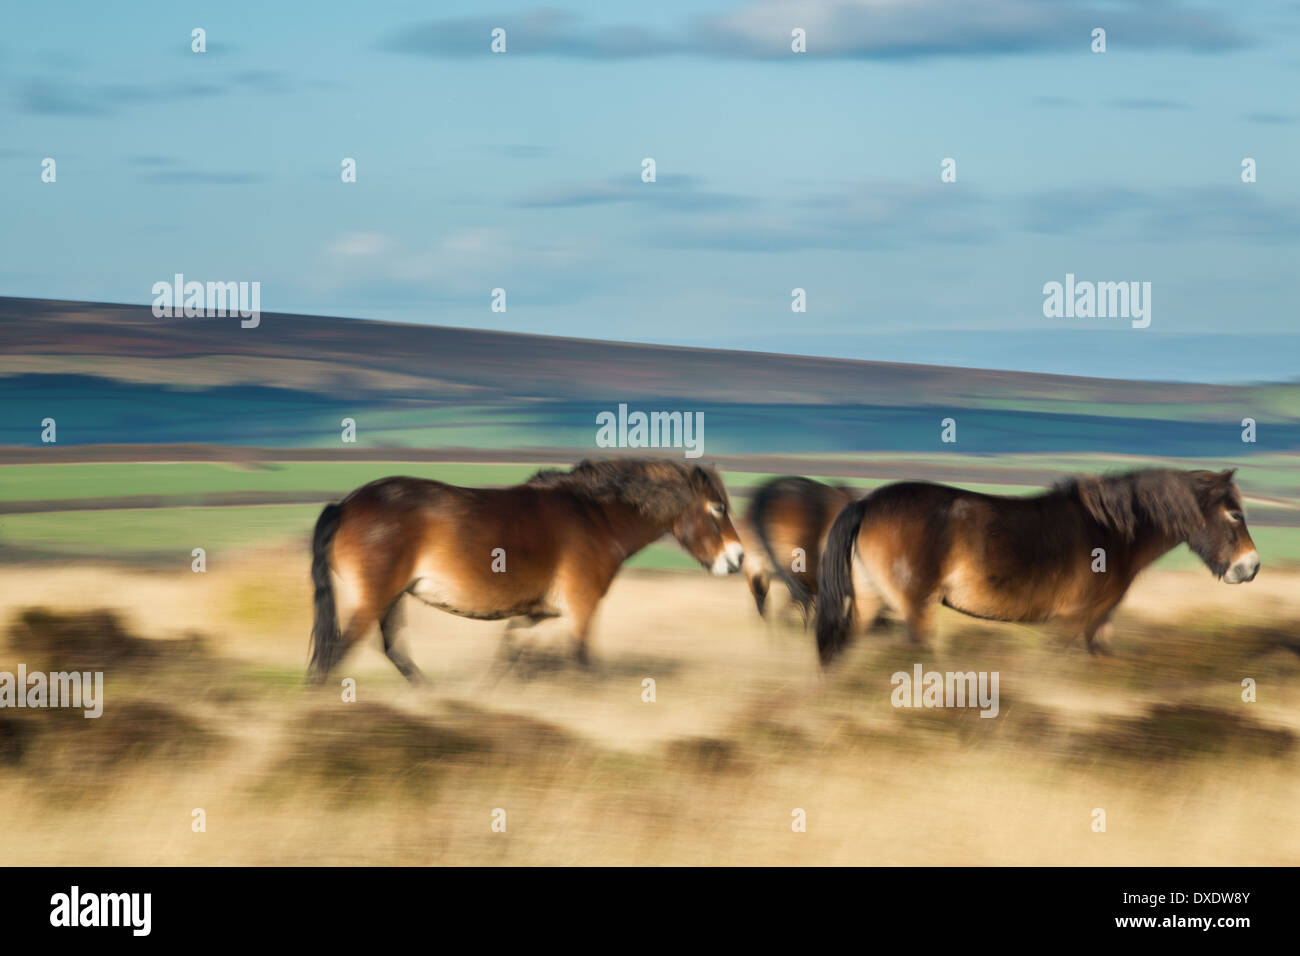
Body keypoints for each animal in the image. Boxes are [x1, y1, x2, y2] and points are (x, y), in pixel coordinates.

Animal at [305, 460, 748, 686]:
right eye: (718, 508)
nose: (739, 558)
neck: (594, 517)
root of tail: (344, 506)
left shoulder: (531, 615)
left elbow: (506, 661)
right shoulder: (582, 608)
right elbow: (584, 663)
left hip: (392, 597)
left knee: (392, 650)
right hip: (374, 597)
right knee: (337, 654)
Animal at [821, 465, 1258, 660]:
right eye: (1235, 514)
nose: (1250, 567)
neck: (1110, 533)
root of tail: (866, 503)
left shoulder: (1098, 622)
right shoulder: (1072, 620)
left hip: (869, 603)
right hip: (918, 608)